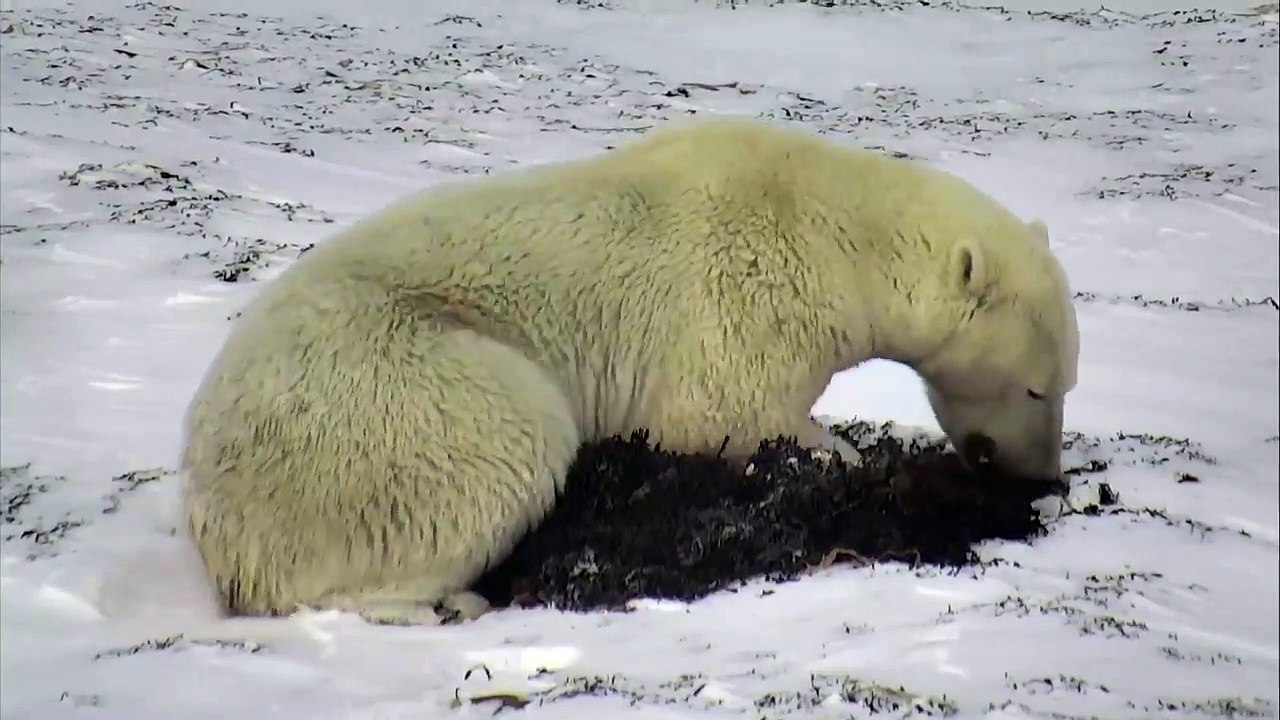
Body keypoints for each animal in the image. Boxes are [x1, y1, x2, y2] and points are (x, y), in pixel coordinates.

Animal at [182, 116, 1079, 625]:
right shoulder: (741, 295)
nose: (1043, 475)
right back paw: (445, 600)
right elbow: (723, 414)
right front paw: (840, 451)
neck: (833, 230)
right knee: (500, 441)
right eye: (1037, 386)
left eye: (1065, 386)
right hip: (387, 393)